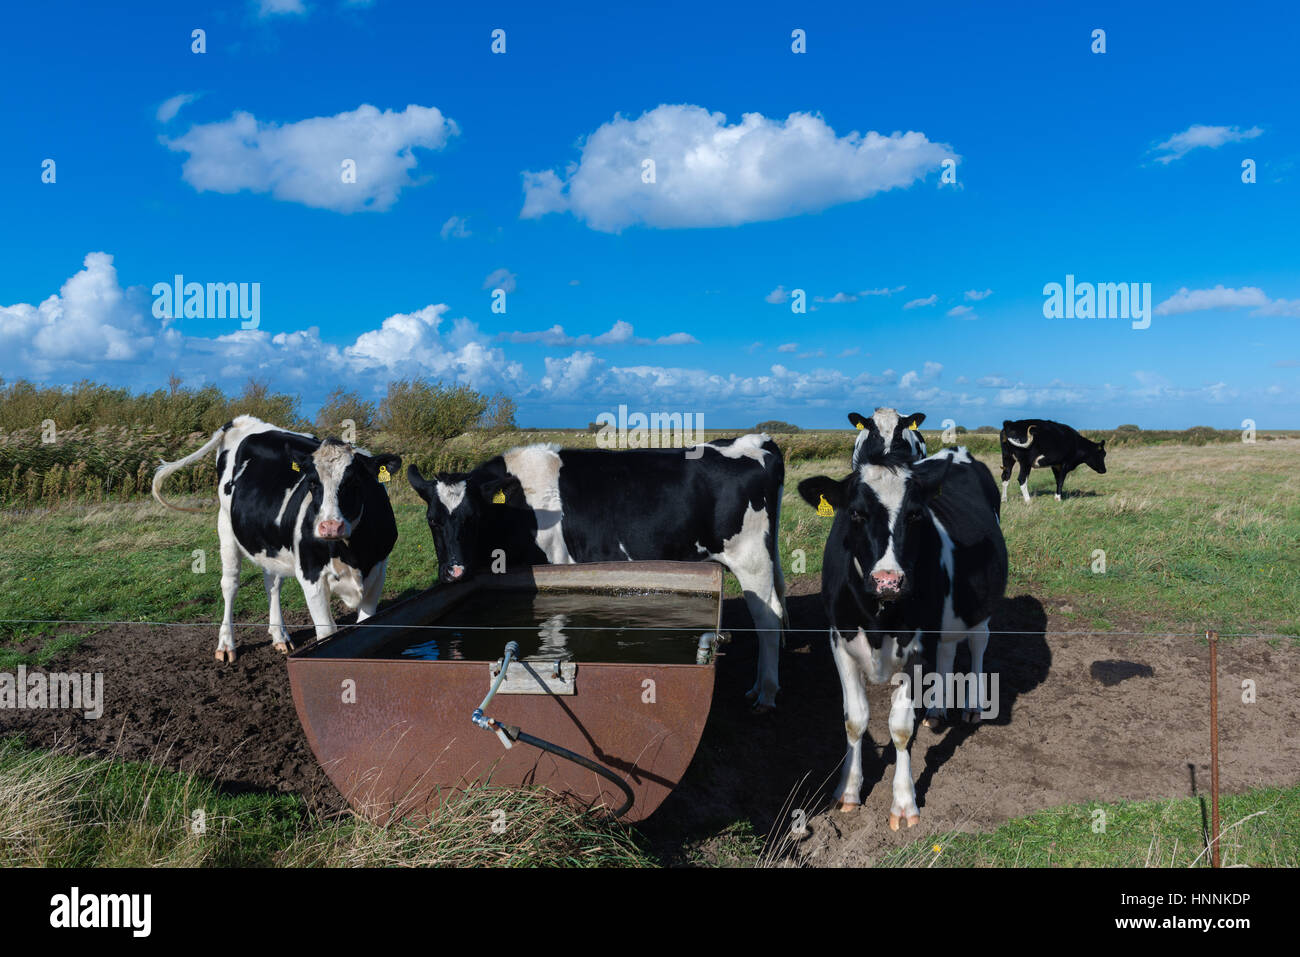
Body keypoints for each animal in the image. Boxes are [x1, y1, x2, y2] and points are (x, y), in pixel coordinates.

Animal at [151, 416, 397, 660]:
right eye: (312, 482)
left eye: (355, 482)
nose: (329, 527)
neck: (351, 553)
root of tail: (244, 420)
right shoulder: (311, 575)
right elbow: (327, 633)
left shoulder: (378, 570)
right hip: (226, 527)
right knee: (230, 584)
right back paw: (226, 645)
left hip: (271, 543)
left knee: (272, 583)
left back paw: (280, 637)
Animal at [405, 434, 785, 712]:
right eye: (432, 520)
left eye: (474, 518)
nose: (454, 571)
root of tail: (757, 440)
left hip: (751, 558)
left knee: (767, 620)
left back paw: (766, 694)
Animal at [795, 444, 1008, 826]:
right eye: (856, 513)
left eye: (914, 515)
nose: (889, 581)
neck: (878, 618)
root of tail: (956, 449)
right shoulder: (840, 642)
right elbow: (854, 720)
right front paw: (848, 791)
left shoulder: (915, 651)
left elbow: (900, 728)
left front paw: (905, 801)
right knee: (948, 650)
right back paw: (937, 710)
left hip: (979, 610)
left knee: (977, 644)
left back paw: (971, 705)